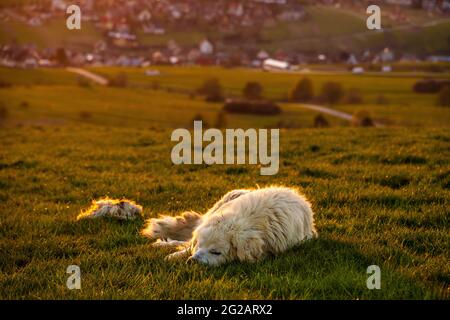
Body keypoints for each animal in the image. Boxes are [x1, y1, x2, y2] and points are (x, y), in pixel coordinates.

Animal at [141, 185, 316, 264]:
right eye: (200, 246)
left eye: (216, 252)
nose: (193, 261)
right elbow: (188, 247)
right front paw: (174, 255)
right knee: (187, 239)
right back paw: (162, 244)